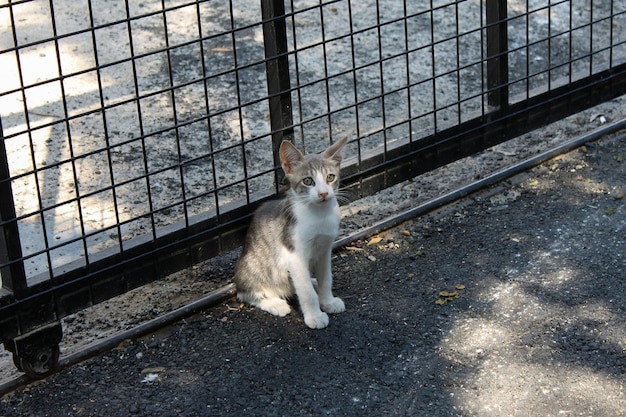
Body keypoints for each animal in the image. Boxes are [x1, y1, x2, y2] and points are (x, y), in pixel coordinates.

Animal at [234, 137, 348, 328]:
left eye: (330, 177)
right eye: (308, 181)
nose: (323, 193)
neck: (320, 215)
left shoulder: (325, 248)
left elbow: (326, 278)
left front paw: (328, 301)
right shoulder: (294, 254)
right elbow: (306, 291)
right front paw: (315, 316)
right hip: (252, 266)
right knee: (245, 293)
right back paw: (275, 303)